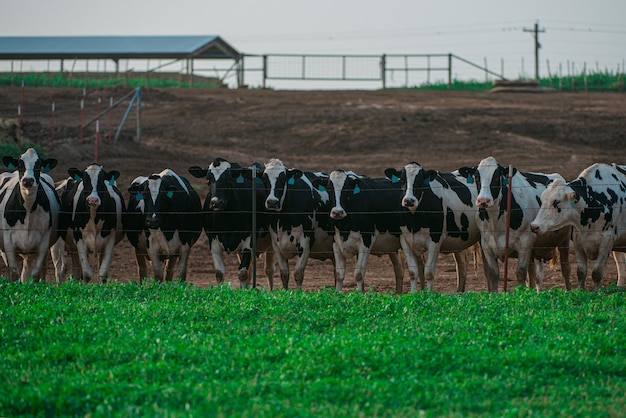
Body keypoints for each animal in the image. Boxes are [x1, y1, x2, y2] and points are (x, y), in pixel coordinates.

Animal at [0, 149, 59, 282]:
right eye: (19, 164)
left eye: (38, 165)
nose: (27, 180)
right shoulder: (8, 241)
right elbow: (14, 273)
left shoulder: (43, 242)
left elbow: (35, 274)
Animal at [185, 158, 272, 290]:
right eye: (208, 180)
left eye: (229, 179)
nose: (216, 202)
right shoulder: (213, 242)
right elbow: (219, 273)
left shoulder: (249, 242)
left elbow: (242, 273)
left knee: (269, 270)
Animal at [260, 158, 334, 290]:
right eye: (264, 179)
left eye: (283, 179)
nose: (272, 202)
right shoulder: (276, 244)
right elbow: (284, 274)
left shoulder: (305, 242)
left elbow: (298, 273)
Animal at [458, 155, 572, 292]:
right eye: (476, 177)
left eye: (496, 177)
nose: (483, 201)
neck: (496, 222)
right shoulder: (486, 245)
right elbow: (493, 273)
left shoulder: (525, 242)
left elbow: (520, 273)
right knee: (534, 274)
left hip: (564, 240)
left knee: (565, 268)